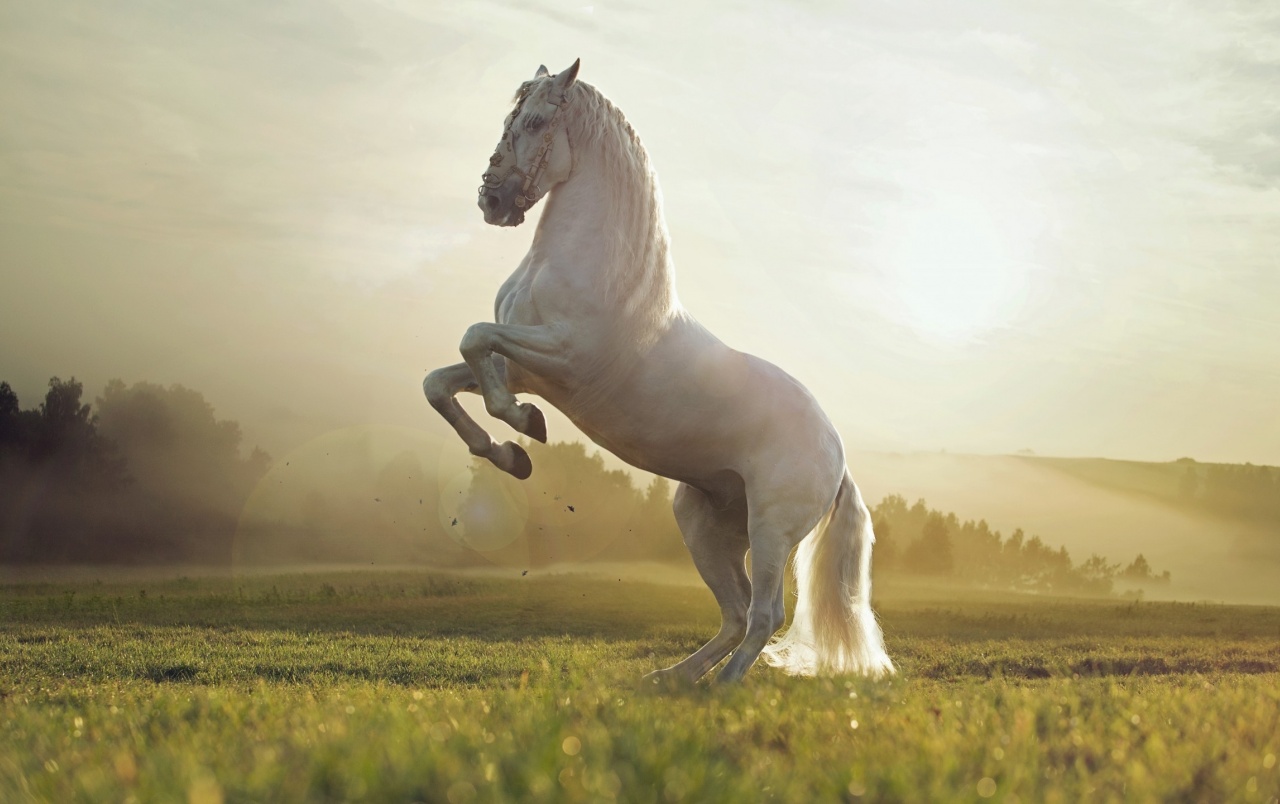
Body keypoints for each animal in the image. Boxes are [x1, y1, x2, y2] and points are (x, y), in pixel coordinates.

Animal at [423, 59, 894, 683]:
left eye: (538, 121)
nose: (492, 200)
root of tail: (836, 455)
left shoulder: (562, 357)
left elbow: (475, 340)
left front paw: (524, 428)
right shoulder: (523, 367)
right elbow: (442, 380)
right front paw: (509, 453)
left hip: (771, 529)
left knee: (765, 614)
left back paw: (720, 689)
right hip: (703, 523)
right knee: (736, 613)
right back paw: (669, 681)